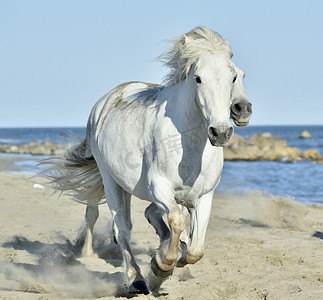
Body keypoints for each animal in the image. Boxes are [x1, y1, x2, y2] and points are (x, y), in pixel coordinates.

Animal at [46, 27, 253, 294]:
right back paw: (137, 279)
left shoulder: (204, 196)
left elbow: (196, 247)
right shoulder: (159, 187)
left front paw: (175, 260)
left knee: (148, 220)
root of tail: (105, 101)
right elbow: (176, 222)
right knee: (122, 229)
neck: (189, 144)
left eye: (234, 77)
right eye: (198, 78)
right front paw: (161, 265)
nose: (221, 132)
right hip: (111, 181)